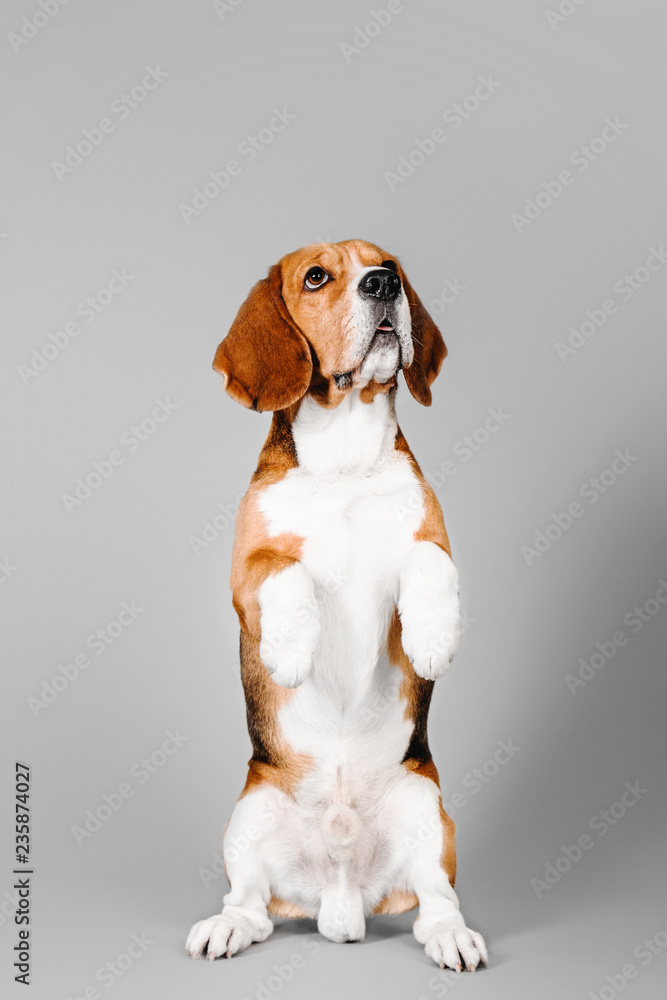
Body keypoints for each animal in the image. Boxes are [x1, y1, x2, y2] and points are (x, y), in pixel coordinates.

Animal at [185, 240, 488, 968]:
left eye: (389, 266)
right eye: (316, 277)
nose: (382, 286)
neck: (346, 458)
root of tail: (342, 896)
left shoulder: (428, 537)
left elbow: (430, 562)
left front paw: (433, 637)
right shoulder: (244, 576)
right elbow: (284, 572)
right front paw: (292, 651)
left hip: (431, 814)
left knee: (434, 904)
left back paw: (453, 938)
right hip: (248, 817)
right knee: (253, 907)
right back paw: (225, 928)